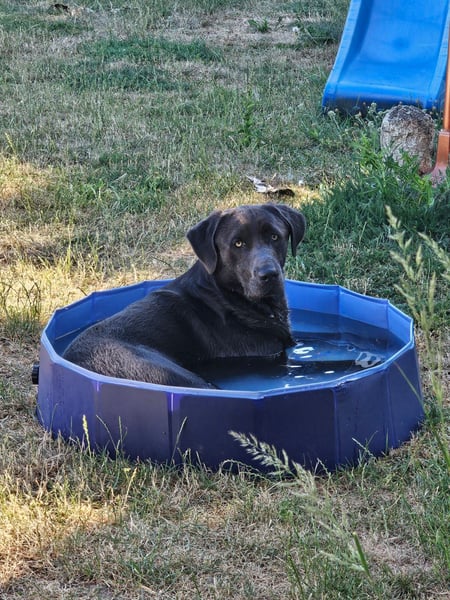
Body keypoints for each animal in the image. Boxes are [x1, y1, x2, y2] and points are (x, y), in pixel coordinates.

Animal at [63, 203, 306, 388]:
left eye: (274, 236)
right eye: (238, 243)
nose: (269, 274)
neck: (228, 297)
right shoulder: (267, 353)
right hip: (174, 375)